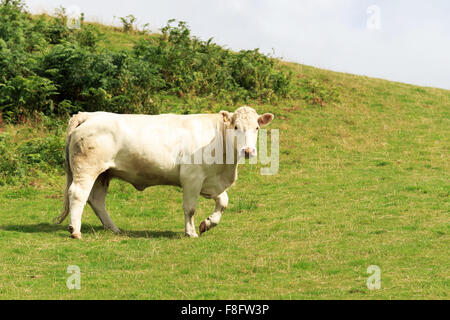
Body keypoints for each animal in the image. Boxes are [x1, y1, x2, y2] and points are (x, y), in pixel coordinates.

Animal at [56, 106, 274, 239]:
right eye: (236, 126)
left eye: (256, 127)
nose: (248, 151)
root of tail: (89, 115)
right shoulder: (192, 178)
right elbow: (190, 208)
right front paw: (190, 232)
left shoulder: (211, 180)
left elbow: (223, 202)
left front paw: (208, 223)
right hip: (87, 169)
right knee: (78, 194)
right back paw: (75, 231)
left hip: (104, 174)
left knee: (97, 200)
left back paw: (114, 228)